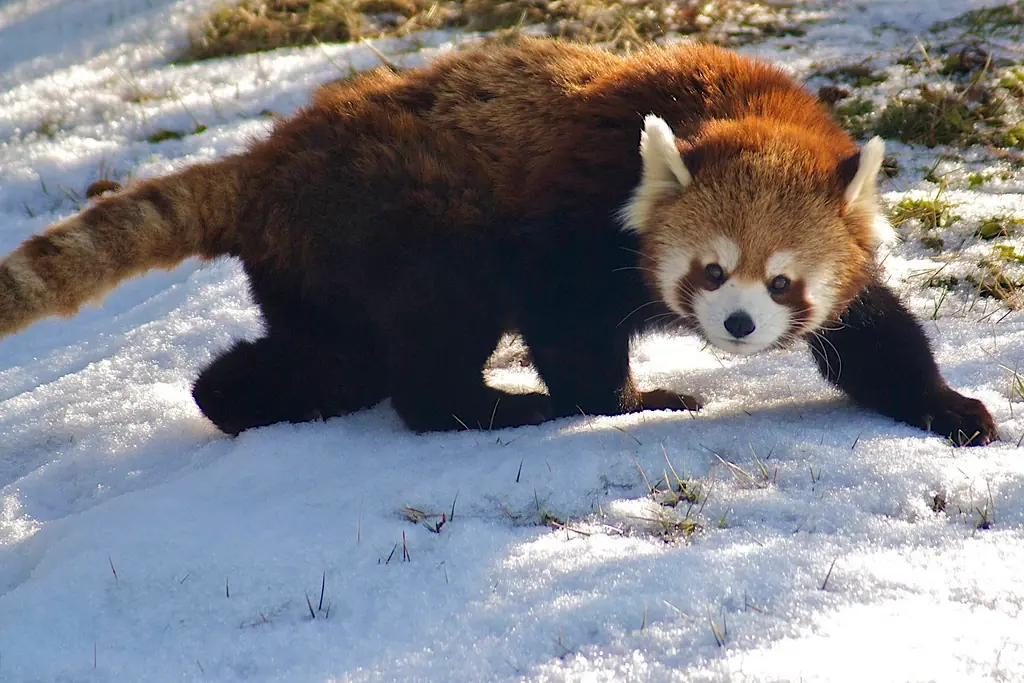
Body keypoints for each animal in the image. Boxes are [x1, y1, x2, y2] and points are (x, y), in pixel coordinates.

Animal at [0, 37, 997, 444]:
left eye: (782, 282)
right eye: (712, 271)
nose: (740, 328)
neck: (730, 105)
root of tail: (272, 155)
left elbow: (874, 335)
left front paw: (949, 407)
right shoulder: (574, 223)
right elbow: (570, 332)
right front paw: (629, 401)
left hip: (313, 271)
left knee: (328, 358)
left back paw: (240, 399)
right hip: (401, 226)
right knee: (426, 346)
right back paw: (495, 408)